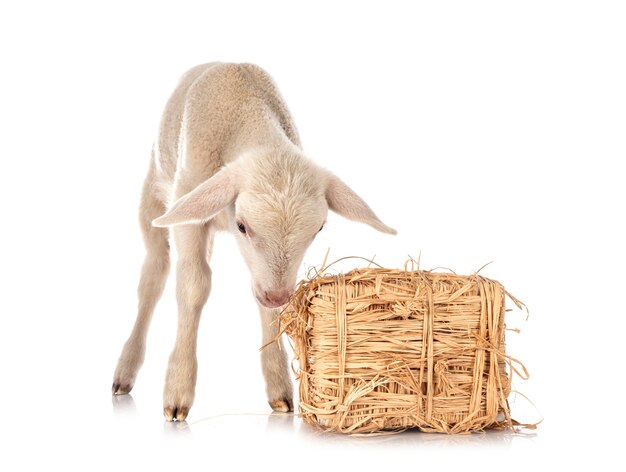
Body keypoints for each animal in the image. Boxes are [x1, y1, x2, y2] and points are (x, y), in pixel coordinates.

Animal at [111, 61, 394, 420]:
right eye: (242, 226)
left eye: (318, 229)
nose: (276, 295)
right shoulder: (187, 198)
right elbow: (193, 286)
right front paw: (177, 393)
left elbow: (265, 306)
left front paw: (279, 390)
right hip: (157, 188)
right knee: (153, 275)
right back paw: (125, 370)